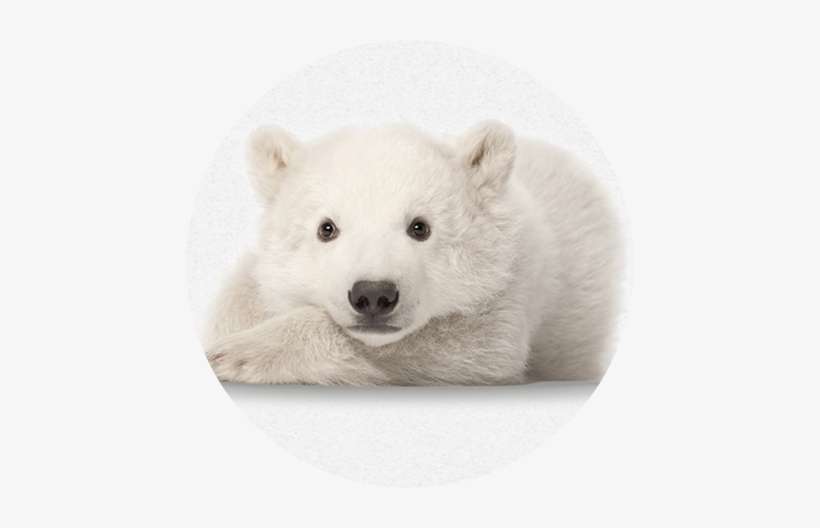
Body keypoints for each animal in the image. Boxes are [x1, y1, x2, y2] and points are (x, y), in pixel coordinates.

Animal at [204, 121, 623, 385]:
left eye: (420, 226)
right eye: (327, 228)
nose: (373, 295)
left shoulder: (510, 284)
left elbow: (469, 343)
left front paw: (236, 354)